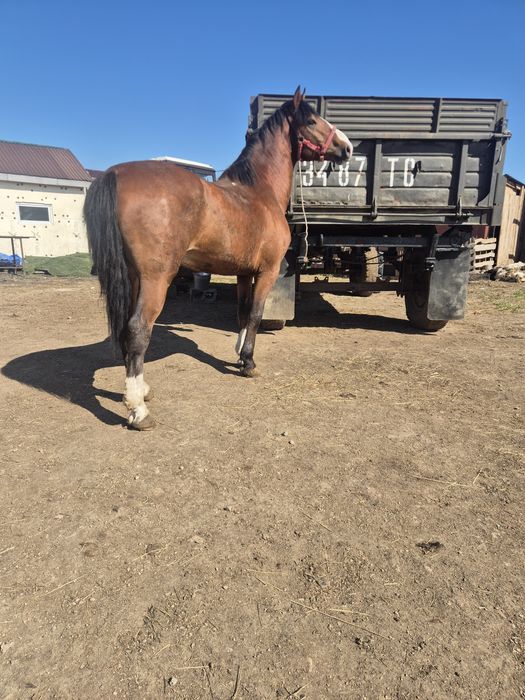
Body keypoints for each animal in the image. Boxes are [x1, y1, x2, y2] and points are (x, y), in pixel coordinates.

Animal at [84, 87, 353, 430]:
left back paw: (141, 391)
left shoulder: (243, 272)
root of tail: (116, 174)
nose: (347, 147)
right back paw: (138, 410)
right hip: (156, 278)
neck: (258, 192)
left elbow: (242, 313)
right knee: (138, 329)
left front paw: (238, 353)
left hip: (133, 278)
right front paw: (248, 363)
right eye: (311, 120)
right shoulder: (267, 271)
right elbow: (256, 314)